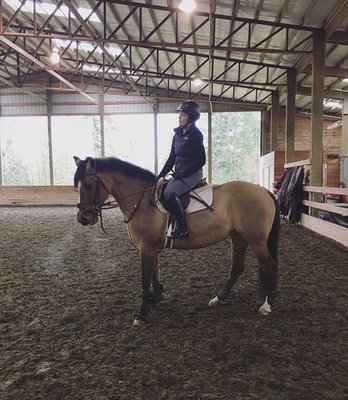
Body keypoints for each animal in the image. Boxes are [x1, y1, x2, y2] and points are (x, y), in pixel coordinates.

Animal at [73, 155, 280, 324]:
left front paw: (142, 313)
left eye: (89, 185)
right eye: (77, 187)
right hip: (239, 237)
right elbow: (154, 274)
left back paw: (268, 304)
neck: (142, 201)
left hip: (255, 240)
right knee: (237, 266)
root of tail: (264, 191)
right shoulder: (151, 249)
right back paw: (218, 298)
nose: (83, 218)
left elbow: (144, 279)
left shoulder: (146, 249)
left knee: (269, 265)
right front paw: (155, 299)